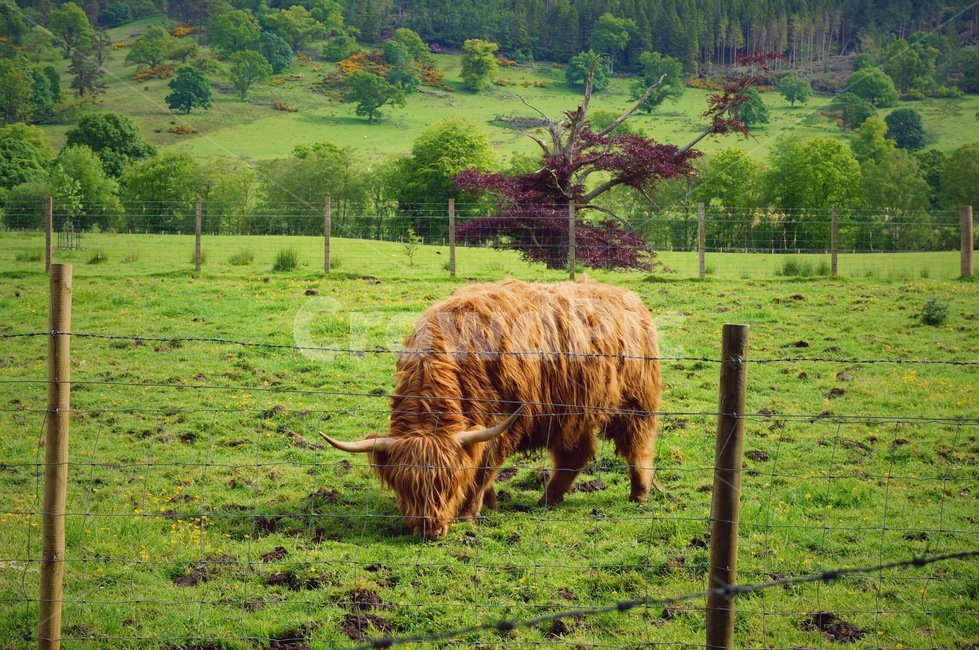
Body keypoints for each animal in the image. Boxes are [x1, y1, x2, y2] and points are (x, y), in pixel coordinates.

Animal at [320, 277, 662, 538]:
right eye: (406, 486)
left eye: (449, 483)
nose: (431, 530)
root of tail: (628, 296)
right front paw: (492, 504)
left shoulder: (504, 423)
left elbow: (482, 470)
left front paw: (470, 513)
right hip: (568, 412)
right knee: (574, 454)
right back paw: (546, 501)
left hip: (636, 403)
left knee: (639, 447)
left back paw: (639, 496)